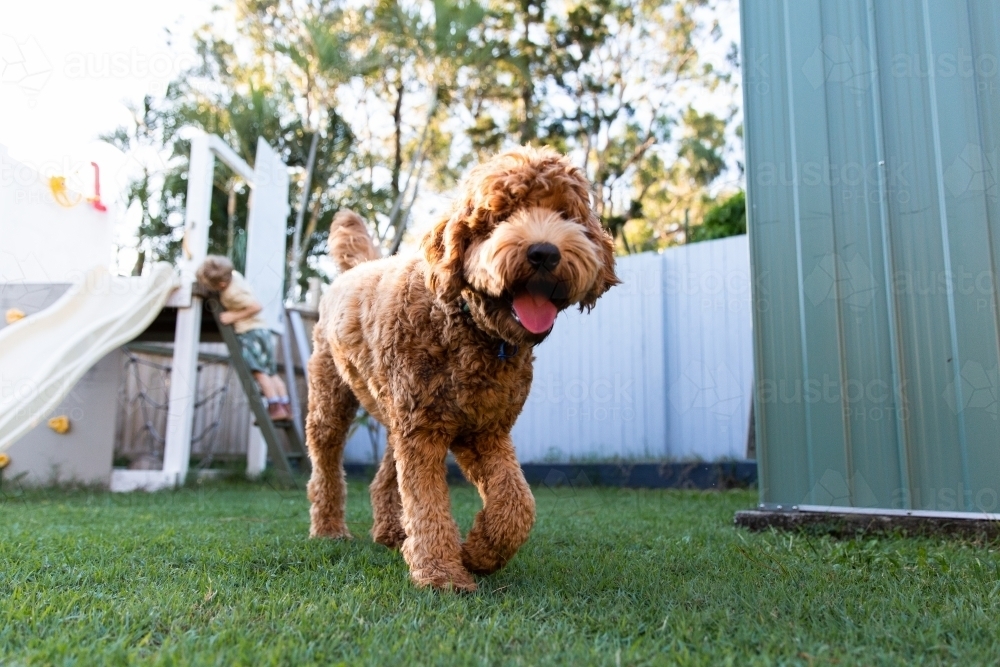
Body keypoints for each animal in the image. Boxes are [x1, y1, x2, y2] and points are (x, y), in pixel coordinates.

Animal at [306, 145, 616, 588]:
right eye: (499, 216)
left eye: (564, 214)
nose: (544, 252)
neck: (470, 325)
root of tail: (356, 269)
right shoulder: (424, 432)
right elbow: (427, 503)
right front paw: (441, 573)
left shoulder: (485, 430)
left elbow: (516, 502)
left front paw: (479, 552)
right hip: (333, 396)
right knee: (326, 461)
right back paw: (330, 529)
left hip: (397, 411)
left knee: (385, 475)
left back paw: (391, 532)